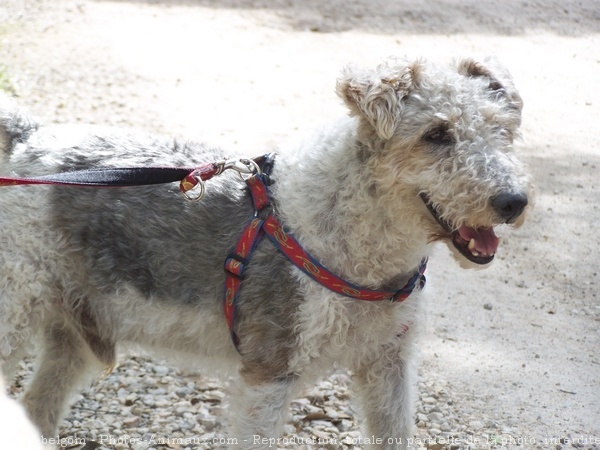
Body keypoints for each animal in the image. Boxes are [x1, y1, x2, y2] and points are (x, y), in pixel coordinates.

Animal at [0, 58, 528, 448]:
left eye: (503, 129)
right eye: (436, 133)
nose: (514, 201)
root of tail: (31, 139)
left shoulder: (388, 365)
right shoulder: (269, 374)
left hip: (73, 334)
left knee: (37, 409)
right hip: (15, 315)